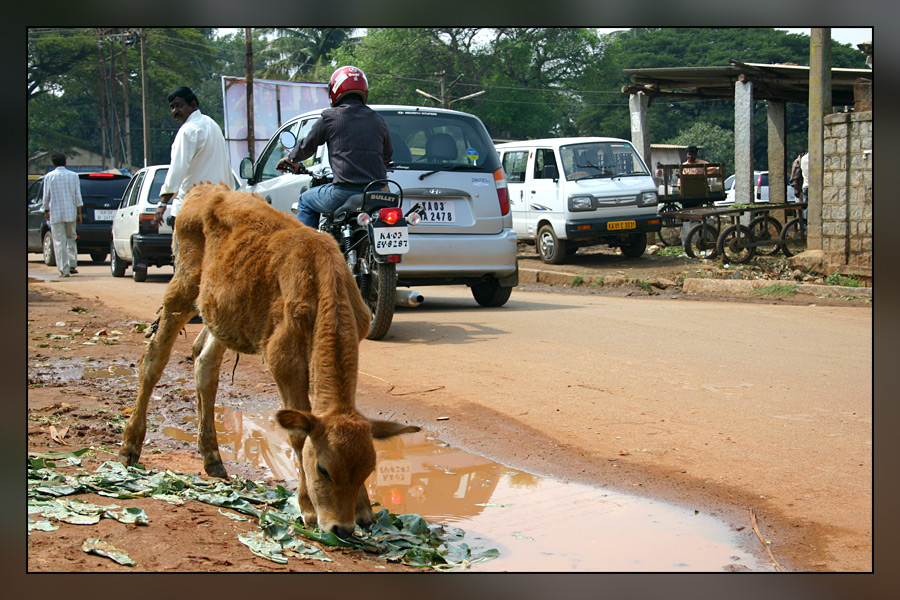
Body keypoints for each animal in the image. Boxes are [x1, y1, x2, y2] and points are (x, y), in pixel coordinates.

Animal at [117, 183, 422, 536]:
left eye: (367, 471)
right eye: (323, 469)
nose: (341, 529)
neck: (323, 280)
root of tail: (206, 188)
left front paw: (364, 509)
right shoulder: (282, 356)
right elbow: (298, 433)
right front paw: (307, 507)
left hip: (222, 313)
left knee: (205, 365)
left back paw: (212, 456)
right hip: (182, 287)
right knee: (153, 358)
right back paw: (130, 445)